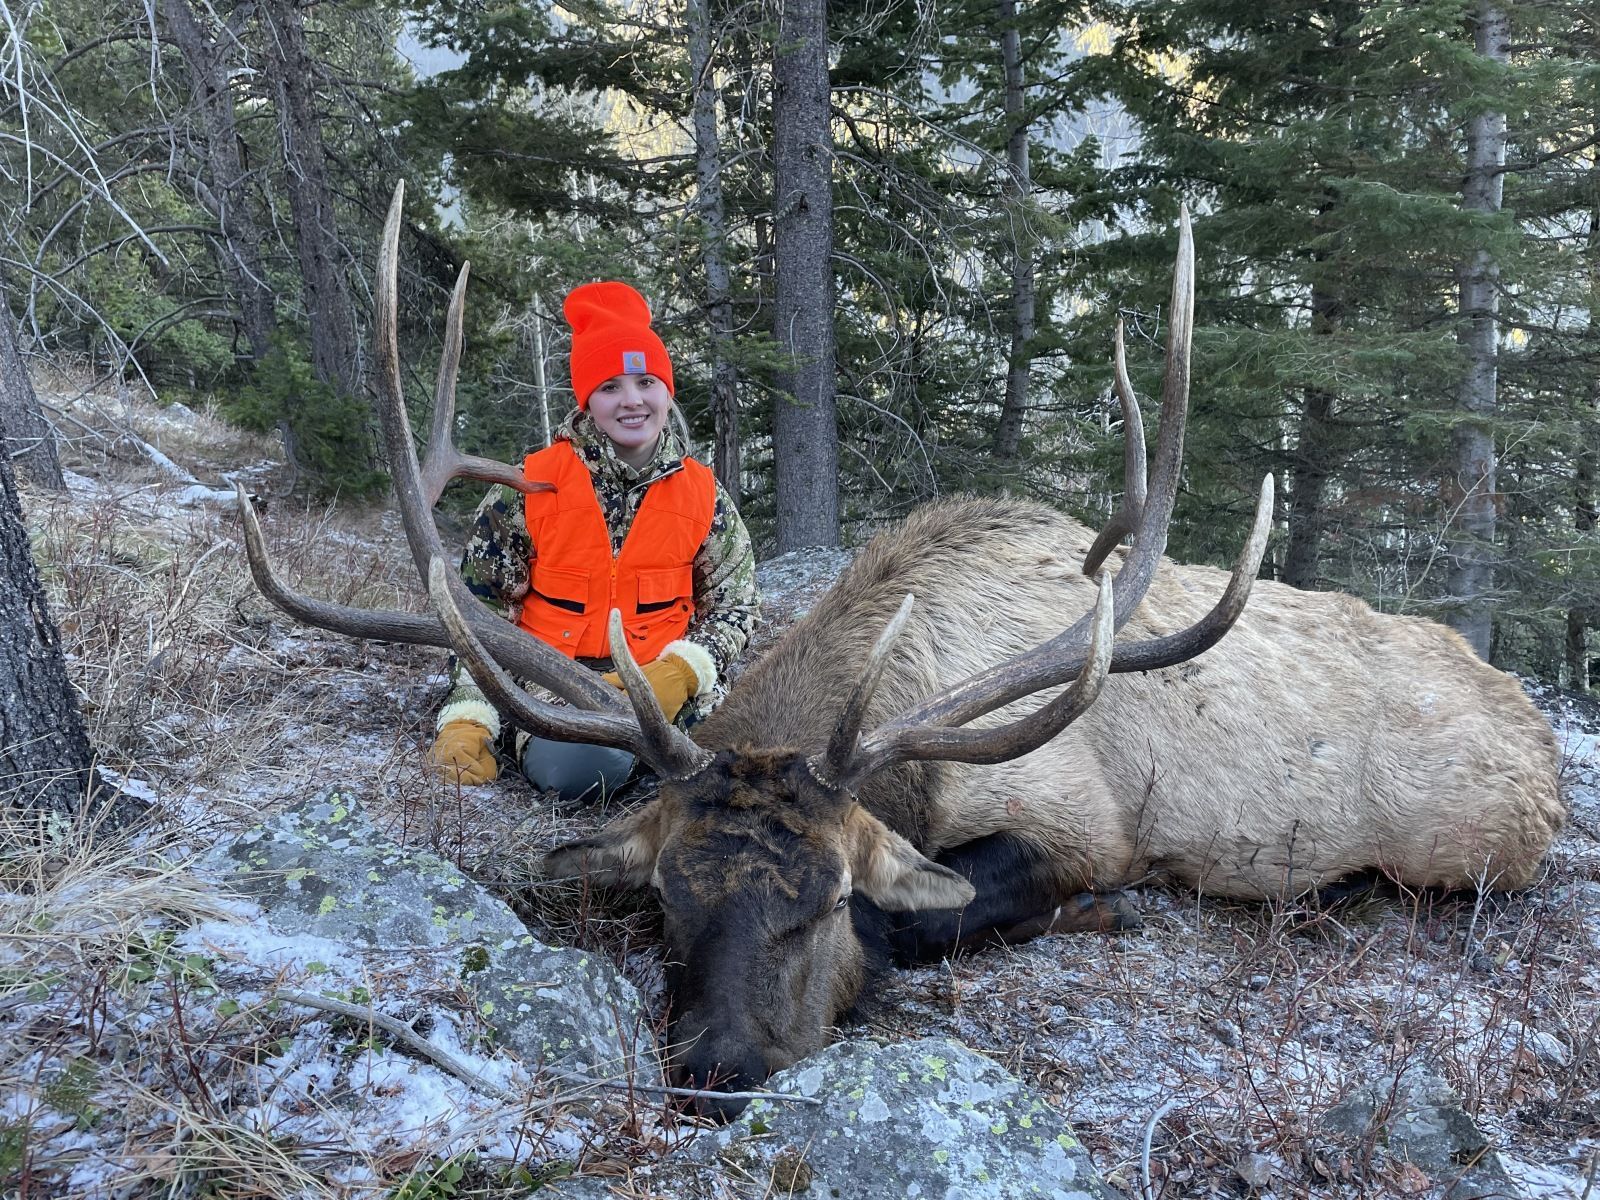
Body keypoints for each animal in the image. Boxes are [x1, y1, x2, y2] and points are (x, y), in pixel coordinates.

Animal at [238, 184, 1564, 1121]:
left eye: (827, 899)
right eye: (666, 894)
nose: (716, 1071)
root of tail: (1540, 731)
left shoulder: (1084, 824)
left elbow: (945, 910)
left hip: (1464, 849)